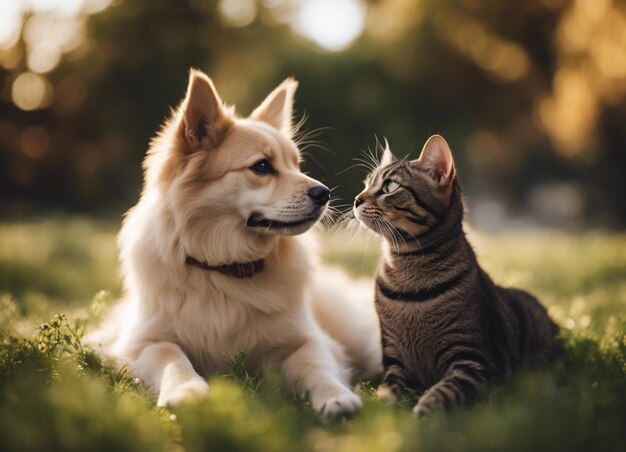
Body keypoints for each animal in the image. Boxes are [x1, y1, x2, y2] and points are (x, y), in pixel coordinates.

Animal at [87, 69, 380, 418]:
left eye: (296, 165)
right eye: (262, 166)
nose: (325, 194)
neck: (226, 270)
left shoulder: (308, 340)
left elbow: (314, 364)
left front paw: (335, 396)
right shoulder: (143, 343)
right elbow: (171, 356)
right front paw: (185, 390)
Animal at [352, 135, 560, 416]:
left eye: (390, 186)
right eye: (367, 183)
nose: (356, 199)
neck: (408, 274)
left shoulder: (473, 360)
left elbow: (445, 390)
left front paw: (422, 411)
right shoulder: (394, 361)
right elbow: (385, 392)